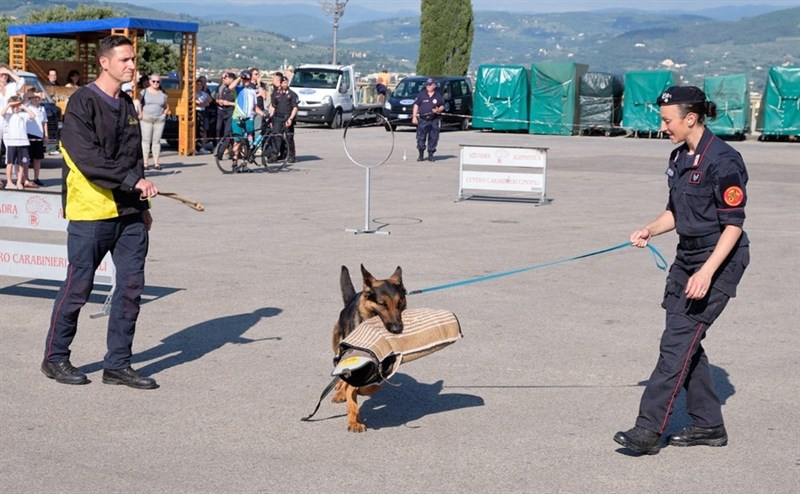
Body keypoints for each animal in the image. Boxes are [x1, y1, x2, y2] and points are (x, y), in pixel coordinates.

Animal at [332, 264, 406, 430]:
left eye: (399, 304)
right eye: (382, 304)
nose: (397, 329)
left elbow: (371, 386)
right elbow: (351, 388)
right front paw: (354, 421)